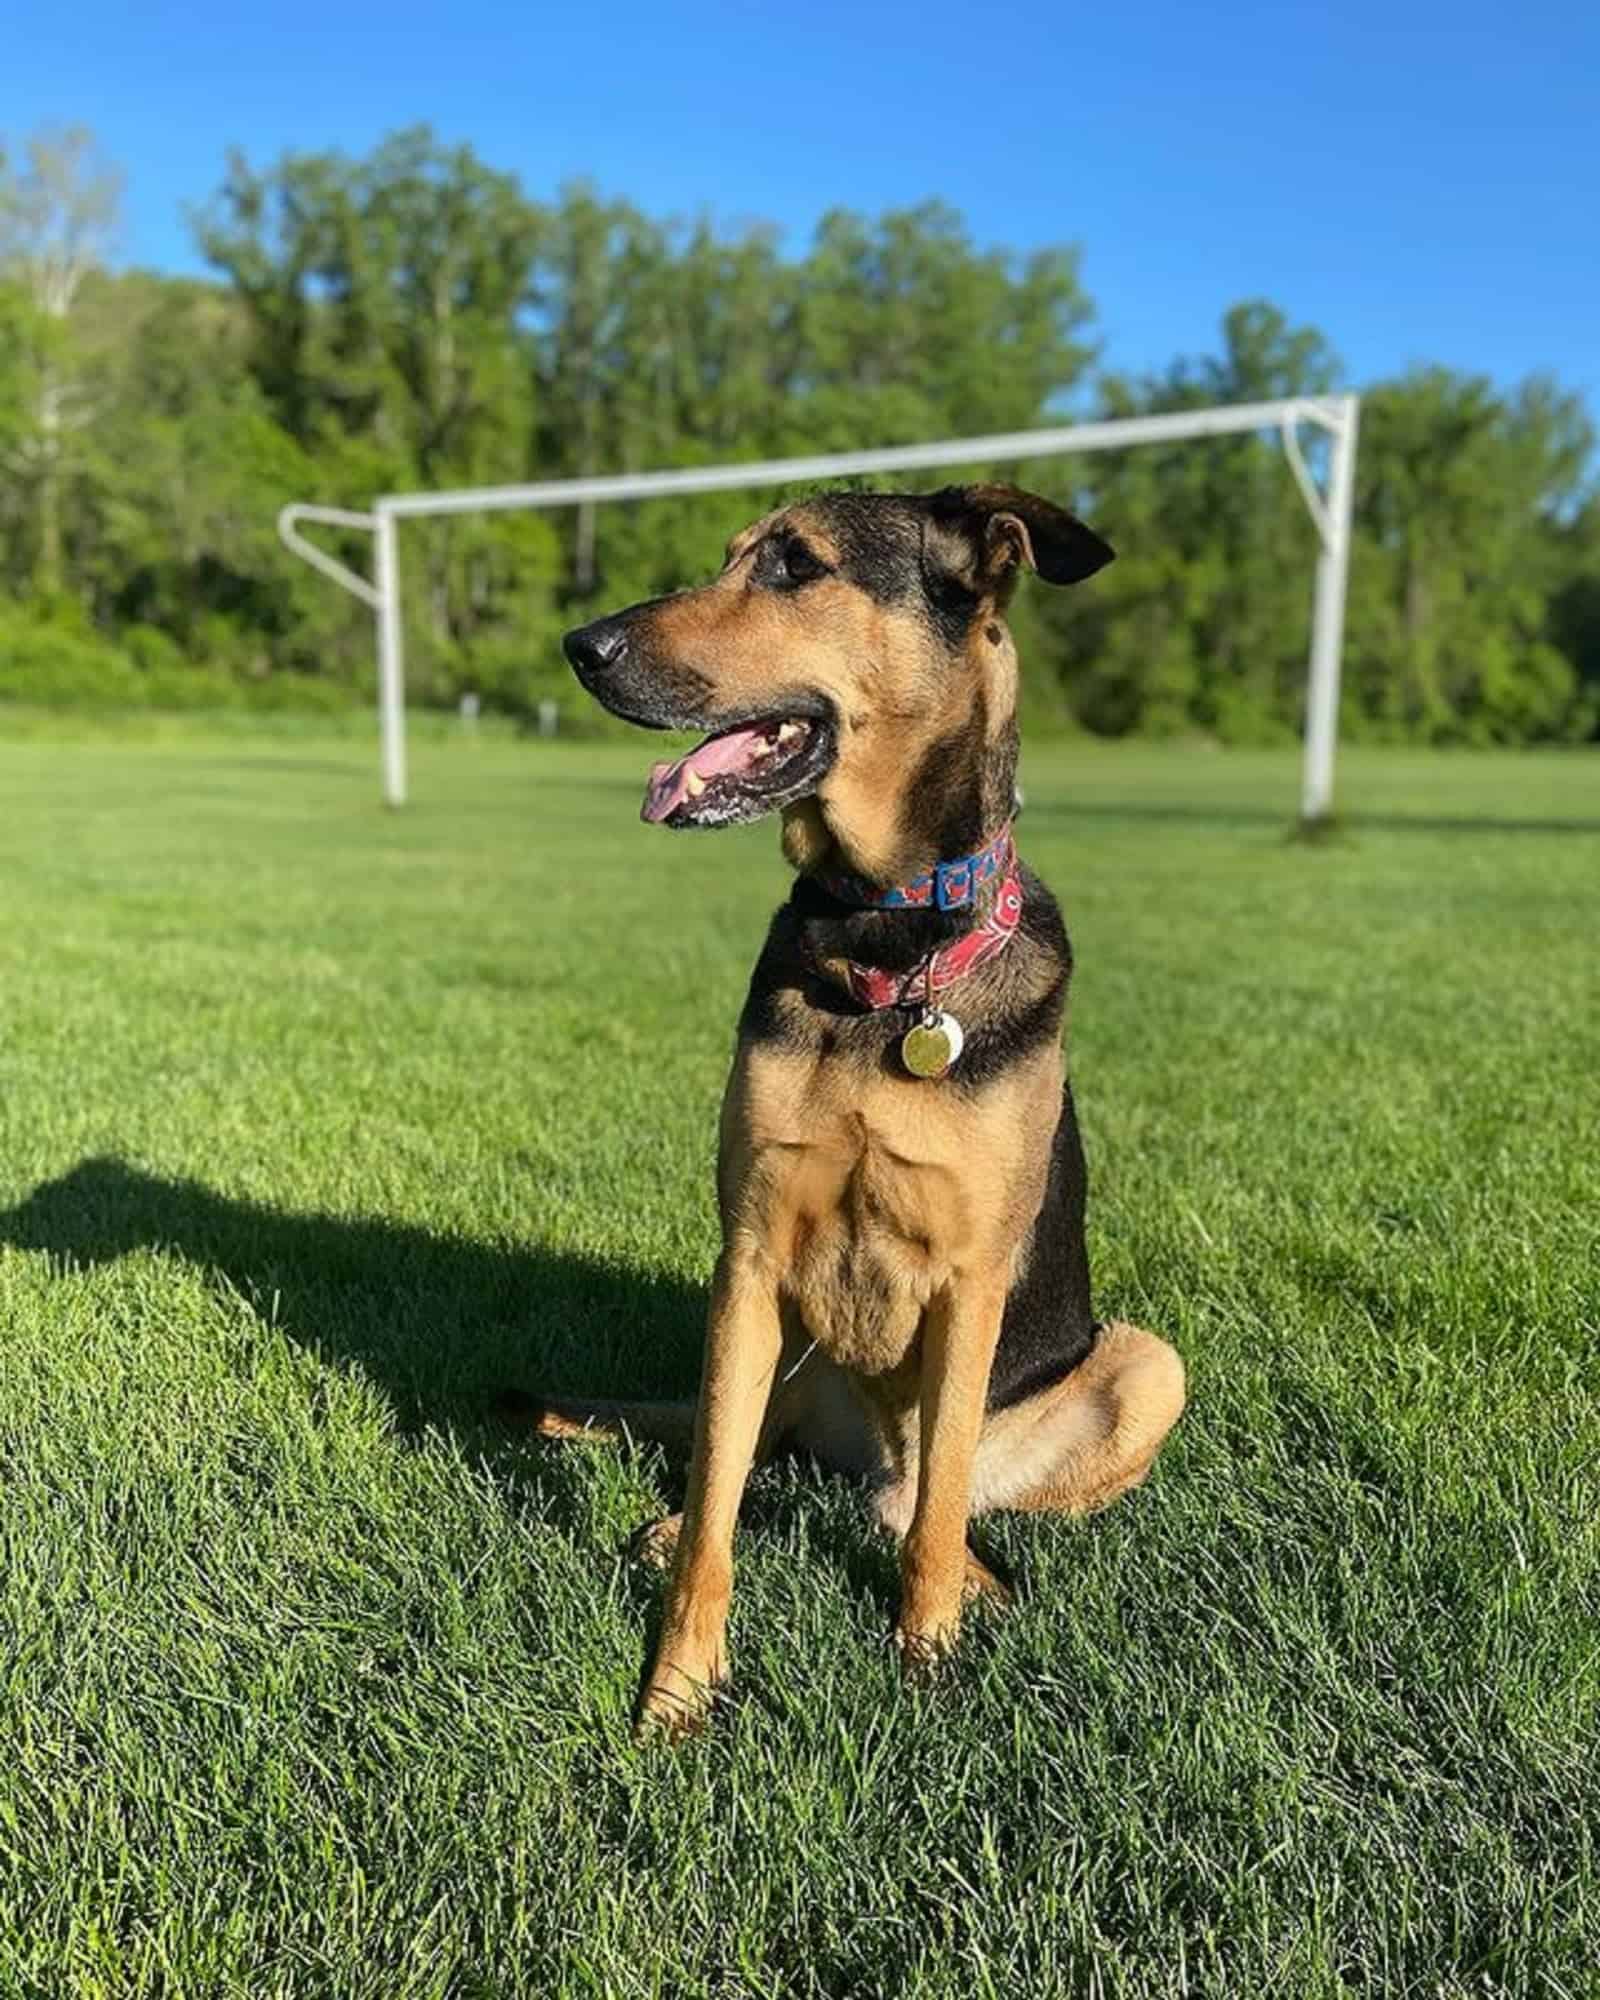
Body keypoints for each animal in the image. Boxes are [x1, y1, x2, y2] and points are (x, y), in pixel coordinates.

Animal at [552, 480, 1184, 1736]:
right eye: (731, 556)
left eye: (795, 564)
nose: (581, 646)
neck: (883, 943)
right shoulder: (748, 1255)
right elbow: (715, 1515)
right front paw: (679, 1684)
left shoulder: (971, 1280)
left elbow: (937, 1516)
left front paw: (926, 1653)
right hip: (779, 1349)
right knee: (745, 1463)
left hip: (1146, 1366)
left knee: (924, 1500)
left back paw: (974, 1576)